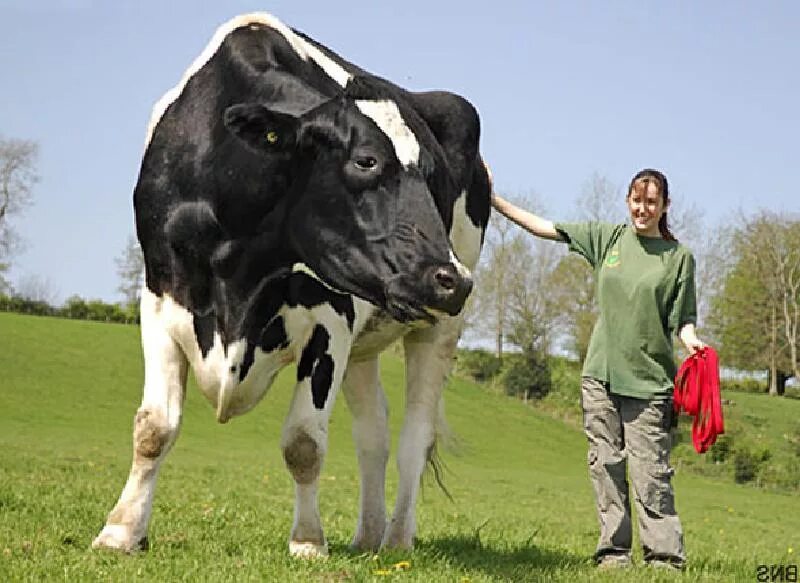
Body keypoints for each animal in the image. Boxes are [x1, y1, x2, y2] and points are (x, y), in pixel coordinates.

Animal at [94, 11, 494, 560]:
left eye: (435, 178)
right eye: (366, 161)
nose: (451, 280)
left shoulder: (332, 319)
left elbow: (304, 442)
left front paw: (307, 541)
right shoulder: (160, 296)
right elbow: (153, 427)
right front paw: (120, 531)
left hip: (436, 331)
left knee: (414, 438)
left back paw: (396, 541)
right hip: (367, 343)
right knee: (373, 433)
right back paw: (367, 538)